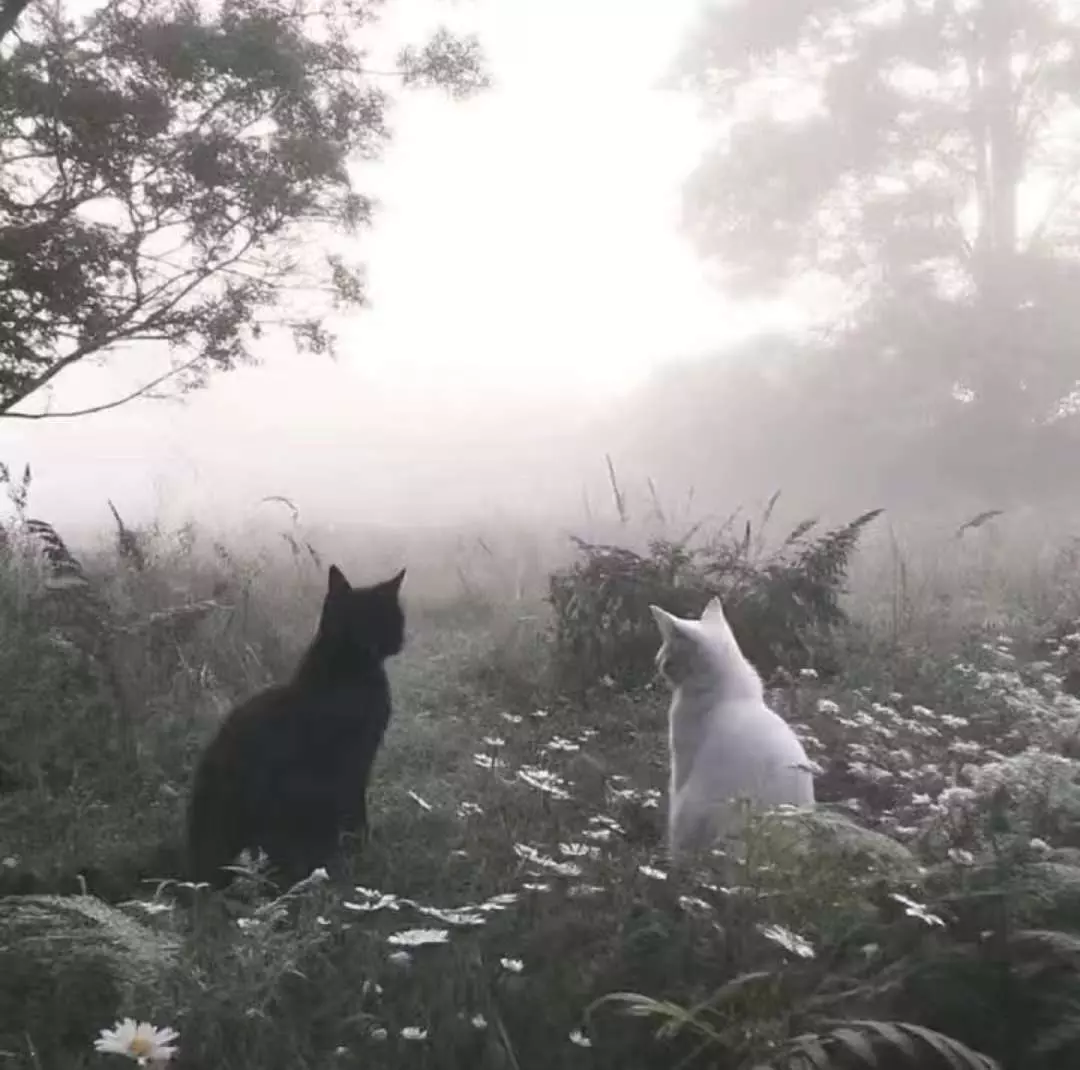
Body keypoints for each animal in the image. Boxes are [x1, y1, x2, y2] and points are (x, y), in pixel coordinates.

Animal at [186, 563, 406, 889]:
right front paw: (363, 850)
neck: (351, 668)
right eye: (360, 618)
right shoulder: (354, 762)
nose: (394, 638)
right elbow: (356, 813)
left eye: (389, 616)